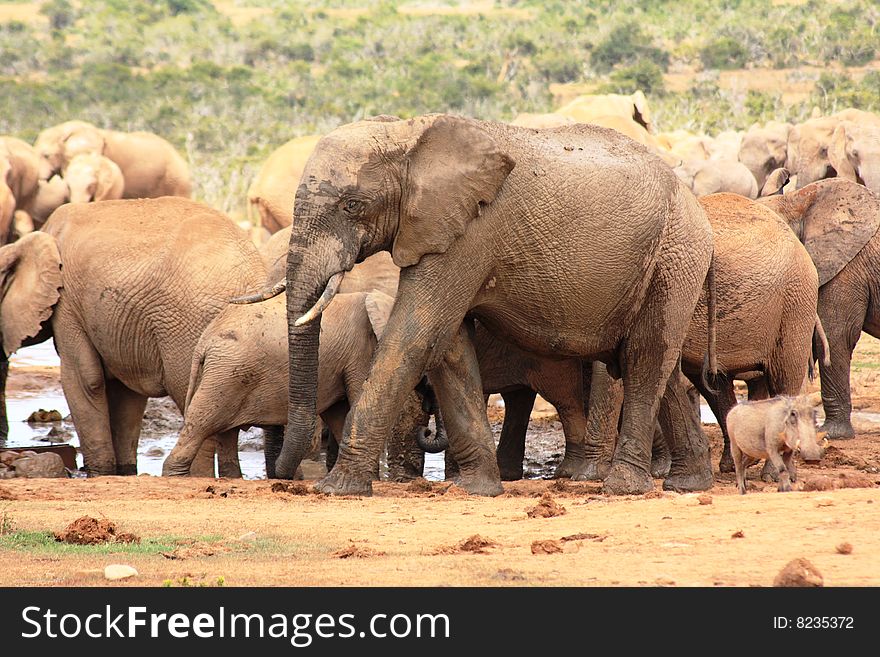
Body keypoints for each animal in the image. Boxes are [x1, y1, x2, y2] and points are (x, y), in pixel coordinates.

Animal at [0, 197, 262, 474]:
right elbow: (126, 395)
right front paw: (124, 471)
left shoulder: (68, 304)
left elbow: (84, 378)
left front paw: (99, 474)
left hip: (189, 326)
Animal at [251, 113, 720, 494]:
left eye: (352, 205)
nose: (285, 477)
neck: (409, 133)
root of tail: (694, 203)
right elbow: (448, 343)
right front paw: (477, 489)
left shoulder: (472, 230)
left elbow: (417, 332)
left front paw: (337, 489)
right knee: (659, 364)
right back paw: (687, 484)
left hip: (675, 252)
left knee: (645, 356)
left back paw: (622, 487)